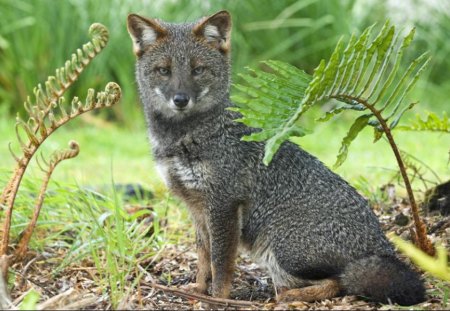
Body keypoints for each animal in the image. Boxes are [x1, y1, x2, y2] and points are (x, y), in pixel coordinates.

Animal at [126, 10, 426, 308]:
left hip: (283, 249)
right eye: (164, 71)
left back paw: (291, 297)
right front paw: (198, 290)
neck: (181, 139)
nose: (180, 99)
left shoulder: (224, 204)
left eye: (197, 70)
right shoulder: (196, 207)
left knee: (340, 281)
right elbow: (203, 257)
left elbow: (221, 264)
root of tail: (382, 245)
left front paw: (217, 299)